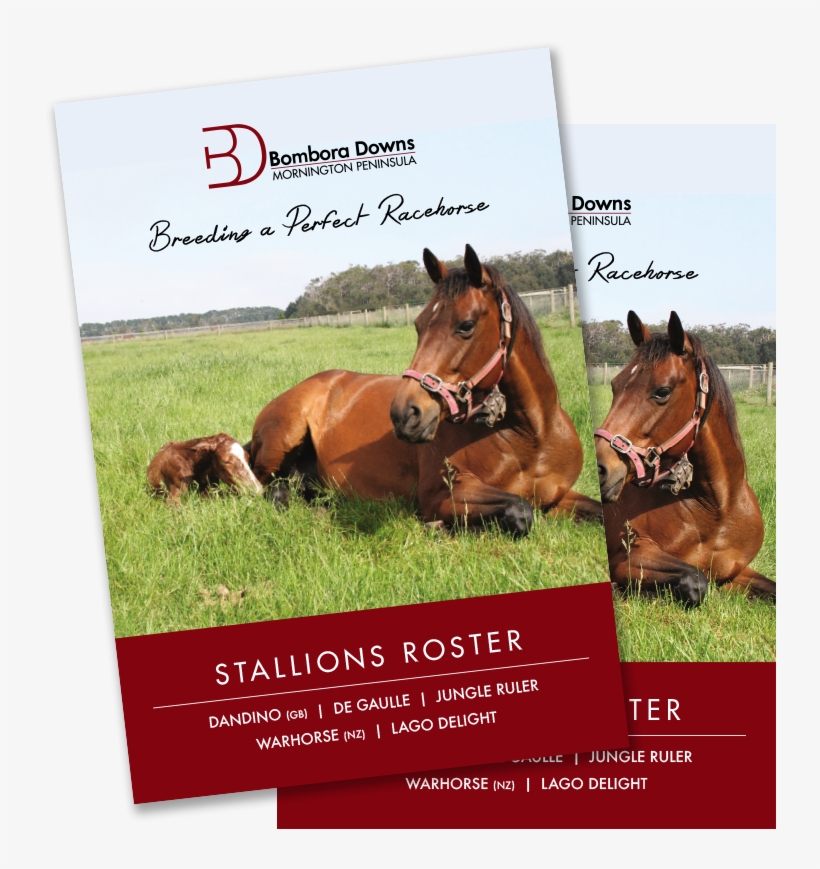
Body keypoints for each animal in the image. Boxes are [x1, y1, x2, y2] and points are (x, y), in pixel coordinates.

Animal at [248, 244, 601, 535]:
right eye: (418, 325)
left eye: (466, 325)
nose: (405, 414)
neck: (531, 436)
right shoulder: (441, 496)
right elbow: (520, 510)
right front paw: (439, 528)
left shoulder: (560, 496)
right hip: (281, 441)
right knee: (262, 488)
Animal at [594, 310, 776, 606]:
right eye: (614, 385)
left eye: (662, 391)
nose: (601, 468)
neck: (717, 510)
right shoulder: (627, 558)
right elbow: (695, 579)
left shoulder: (738, 572)